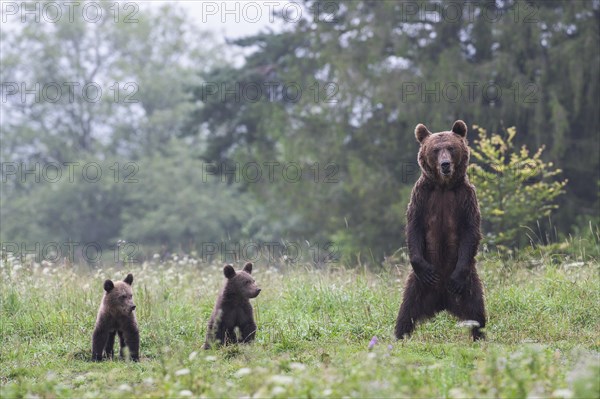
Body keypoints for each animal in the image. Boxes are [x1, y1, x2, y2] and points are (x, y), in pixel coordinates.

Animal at [394, 121, 488, 340]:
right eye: (436, 150)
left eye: (451, 148)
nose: (445, 164)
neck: (444, 187)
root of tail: (442, 301)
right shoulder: (422, 196)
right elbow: (414, 226)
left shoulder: (465, 197)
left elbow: (471, 229)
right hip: (417, 285)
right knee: (406, 312)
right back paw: (399, 336)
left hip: (469, 283)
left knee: (477, 312)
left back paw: (479, 336)